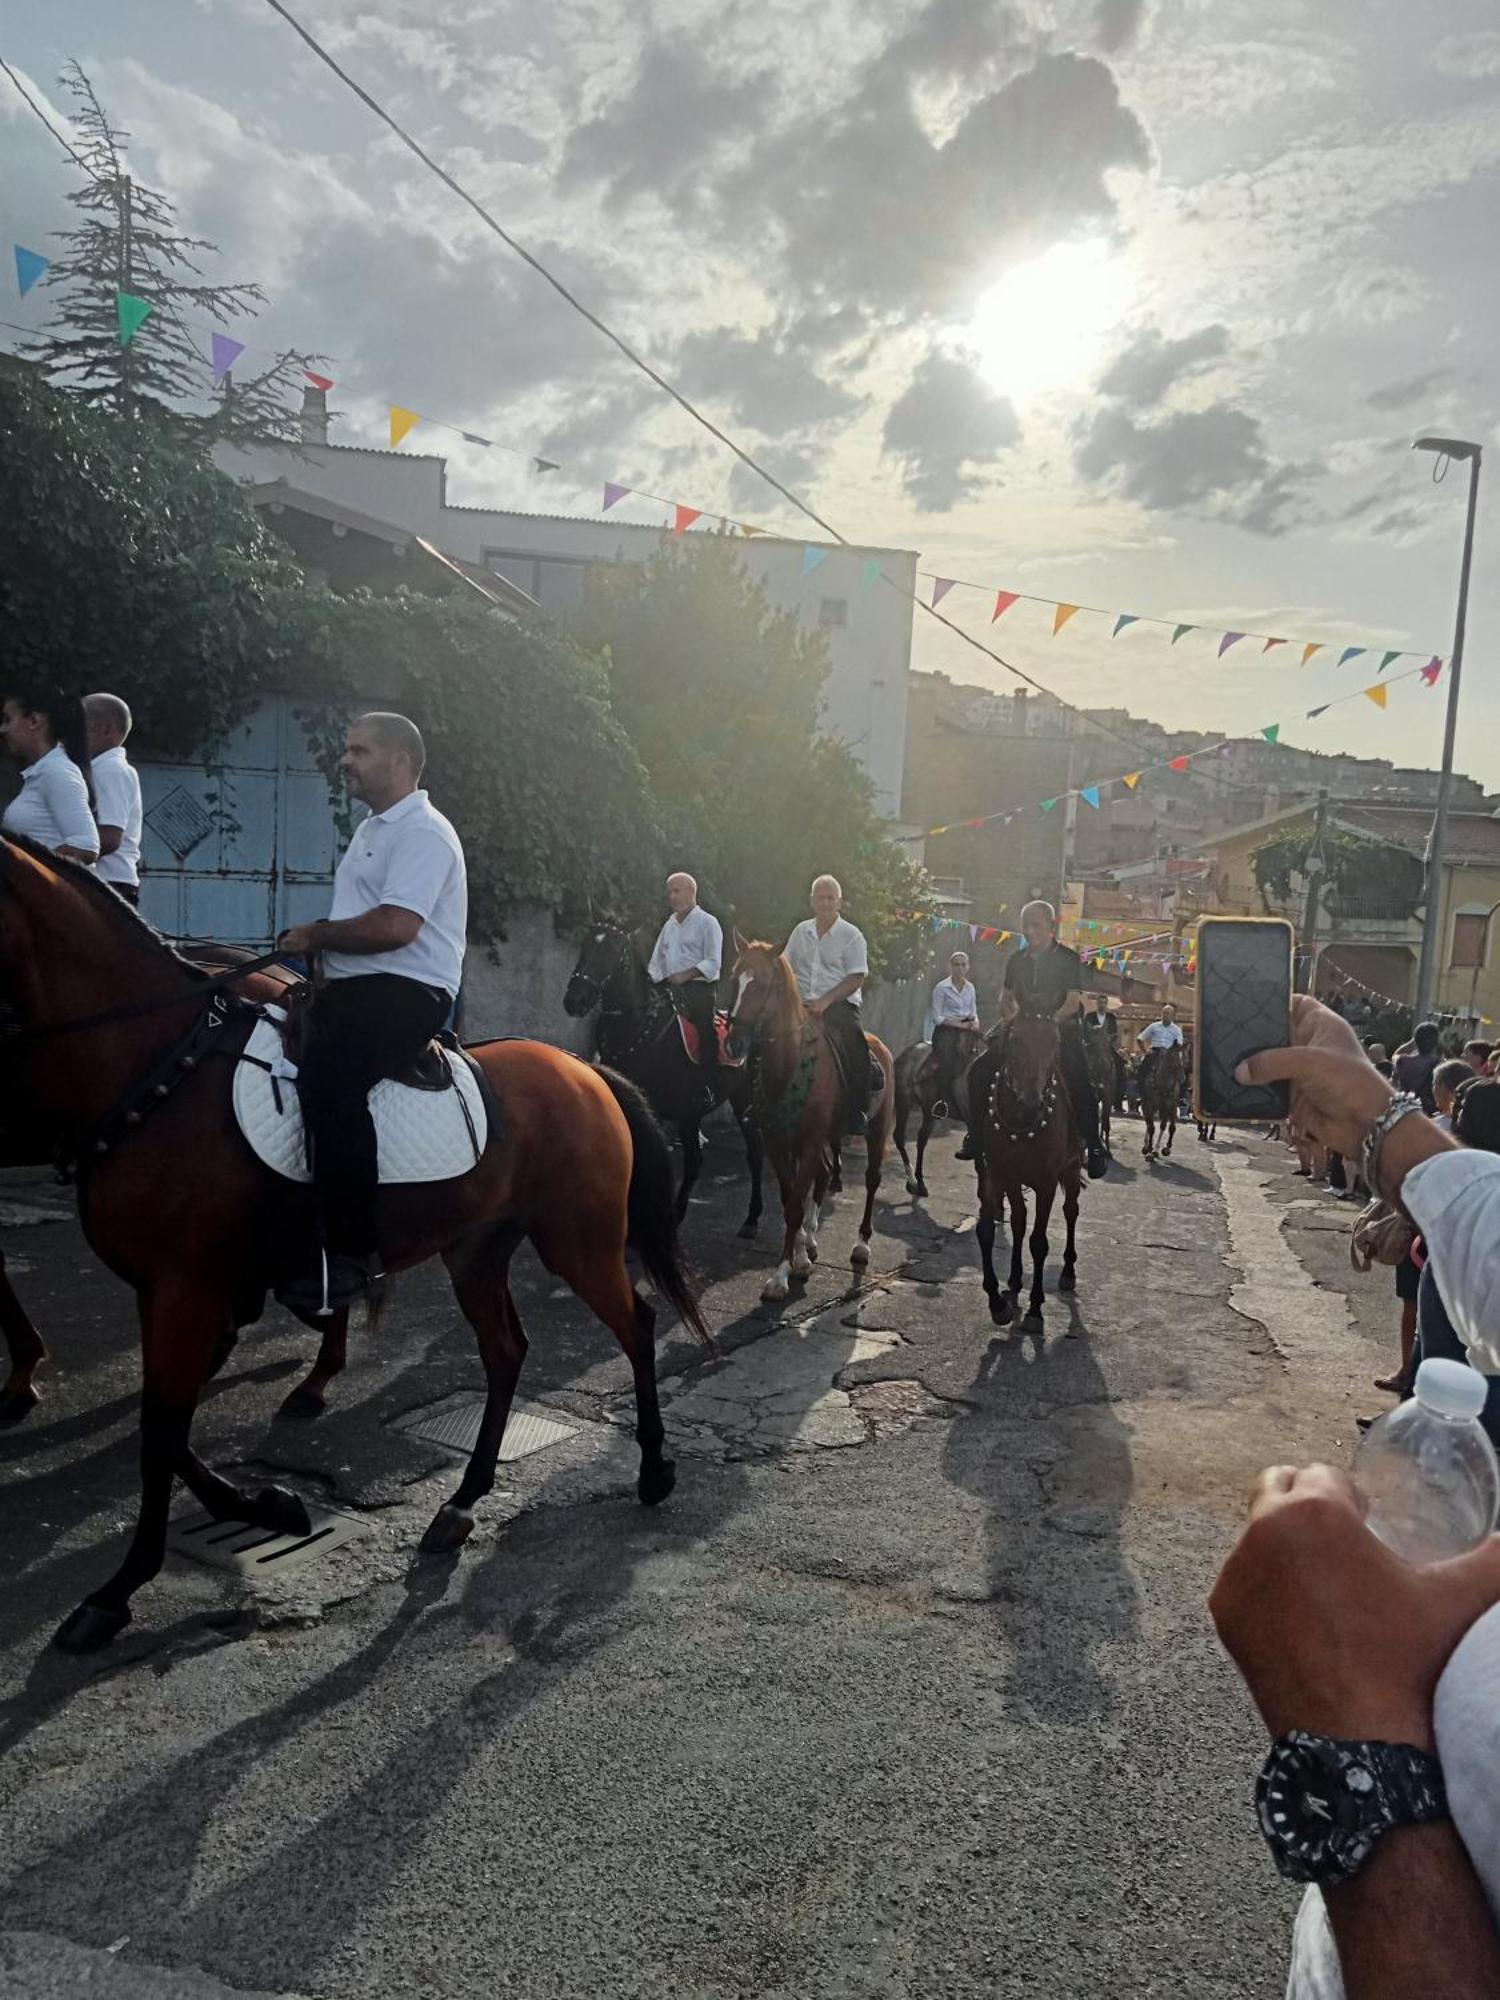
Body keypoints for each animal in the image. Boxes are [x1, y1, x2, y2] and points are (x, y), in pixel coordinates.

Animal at [0, 832, 708, 1656]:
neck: (162, 1065)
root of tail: (584, 1071)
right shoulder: (173, 1292)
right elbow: (166, 1428)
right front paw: (266, 1504)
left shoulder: (185, 1289)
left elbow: (160, 1433)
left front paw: (118, 1591)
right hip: (475, 1251)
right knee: (506, 1352)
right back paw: (463, 1501)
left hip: (580, 1244)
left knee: (637, 1325)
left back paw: (654, 1468)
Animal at [568, 920, 768, 1232]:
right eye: (585, 945)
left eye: (612, 950)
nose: (574, 1000)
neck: (638, 1027)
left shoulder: (671, 1111)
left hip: (739, 1099)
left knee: (748, 1153)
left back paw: (748, 1218)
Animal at [724, 940, 892, 1304]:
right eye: (735, 979)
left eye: (761, 983)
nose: (733, 1043)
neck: (789, 1064)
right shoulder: (778, 1142)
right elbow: (792, 1201)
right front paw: (798, 1260)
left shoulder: (810, 1142)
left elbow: (794, 1207)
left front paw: (781, 1277)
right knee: (826, 1174)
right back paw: (812, 1242)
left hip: (876, 1131)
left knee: (871, 1180)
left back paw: (861, 1245)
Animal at [892, 1024, 988, 1192]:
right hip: (903, 1102)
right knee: (900, 1137)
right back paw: (912, 1181)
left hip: (928, 1112)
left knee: (921, 1139)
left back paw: (919, 1182)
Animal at [976, 1024, 1080, 1336]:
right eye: (1015, 1041)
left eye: (1054, 1041)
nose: (1032, 1102)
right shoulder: (1003, 1175)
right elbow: (1002, 1227)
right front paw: (999, 1302)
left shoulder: (1047, 1183)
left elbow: (1039, 1242)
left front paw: (1035, 1309)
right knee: (1019, 1221)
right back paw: (1013, 1280)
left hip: (1072, 1167)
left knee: (1071, 1211)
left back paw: (1068, 1271)